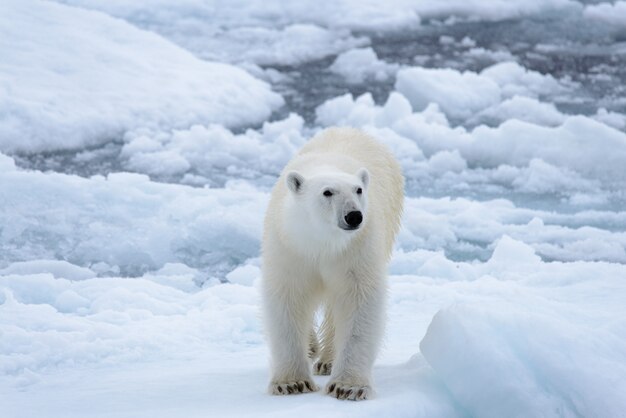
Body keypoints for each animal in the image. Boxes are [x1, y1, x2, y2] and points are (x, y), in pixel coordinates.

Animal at [260, 128, 402, 402]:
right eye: (327, 192)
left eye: (358, 190)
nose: (354, 216)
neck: (322, 242)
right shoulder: (291, 248)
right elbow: (288, 299)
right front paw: (291, 383)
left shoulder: (356, 250)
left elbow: (359, 301)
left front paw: (348, 387)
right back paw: (312, 347)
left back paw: (327, 360)